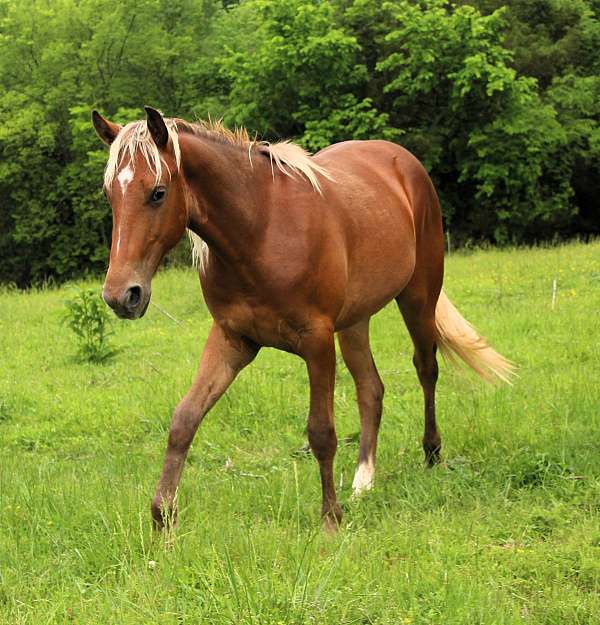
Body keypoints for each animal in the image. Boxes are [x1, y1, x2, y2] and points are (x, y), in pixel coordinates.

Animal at [91, 107, 512, 532]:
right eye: (110, 195)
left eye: (158, 192)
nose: (122, 295)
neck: (260, 231)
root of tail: (403, 162)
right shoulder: (231, 340)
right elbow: (184, 419)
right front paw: (162, 516)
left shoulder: (317, 341)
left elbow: (321, 431)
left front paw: (330, 519)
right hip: (355, 321)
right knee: (371, 389)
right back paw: (363, 482)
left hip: (417, 296)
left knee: (426, 368)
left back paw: (431, 455)